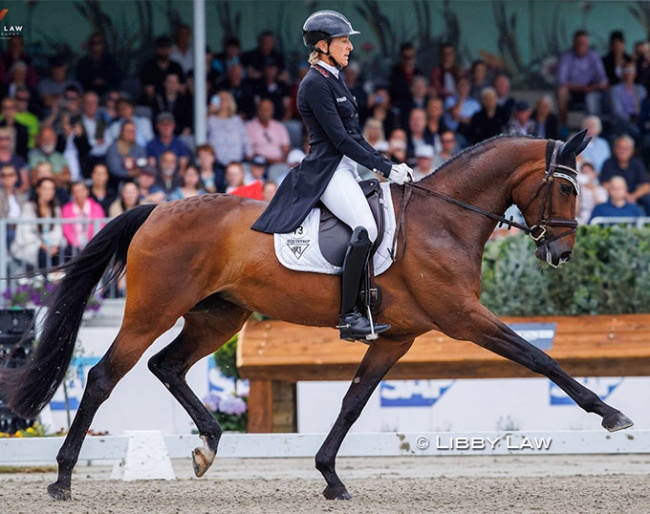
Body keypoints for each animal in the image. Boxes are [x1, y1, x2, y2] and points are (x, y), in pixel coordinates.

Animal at [0, 130, 628, 498]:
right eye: (567, 190)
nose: (561, 254)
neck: (445, 220)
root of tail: (158, 208)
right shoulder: (463, 317)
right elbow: (538, 356)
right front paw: (610, 414)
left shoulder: (397, 336)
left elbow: (353, 401)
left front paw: (330, 475)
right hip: (152, 310)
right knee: (104, 377)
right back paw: (62, 478)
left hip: (218, 317)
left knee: (167, 366)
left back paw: (207, 443)